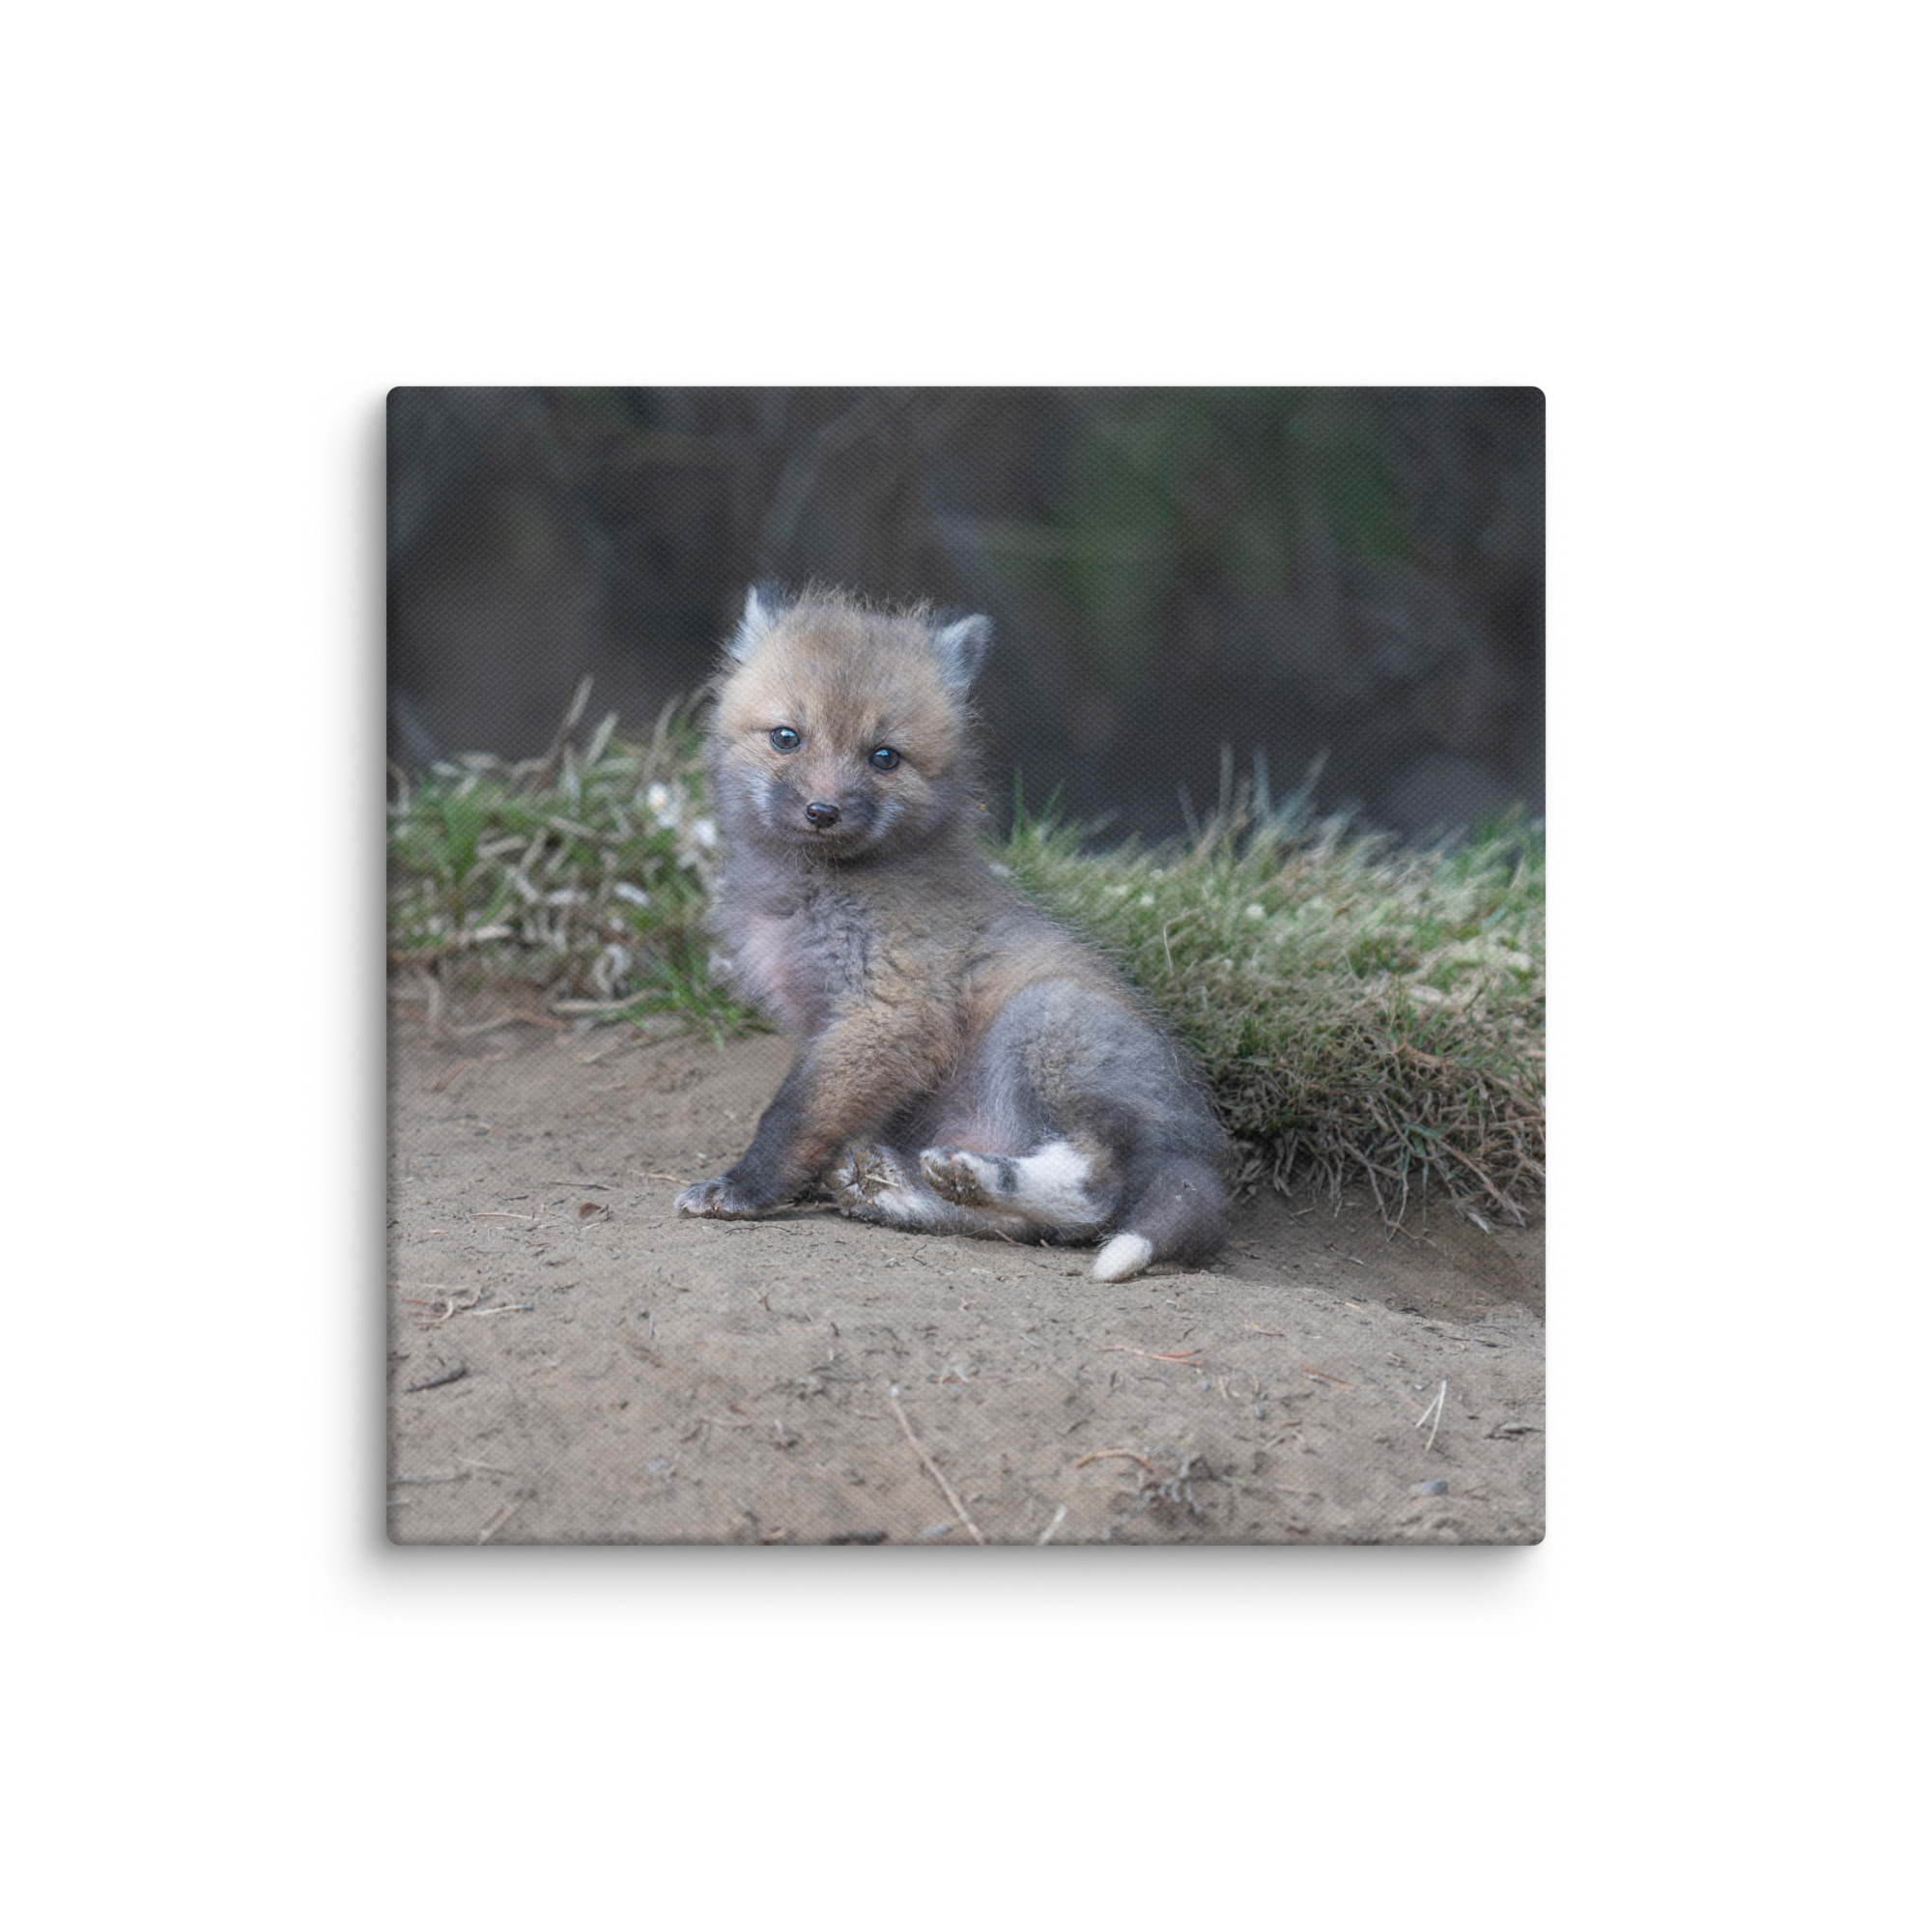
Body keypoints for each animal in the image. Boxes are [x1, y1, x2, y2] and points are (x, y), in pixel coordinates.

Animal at [674, 586, 1229, 1282]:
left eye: (884, 757)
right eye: (786, 738)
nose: (822, 812)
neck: (813, 891)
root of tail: (1199, 1149)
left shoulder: (891, 1010)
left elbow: (793, 1114)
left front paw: (744, 1189)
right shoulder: (830, 1025)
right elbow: (818, 1114)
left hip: (1043, 1023)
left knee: (1095, 1191)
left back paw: (973, 1175)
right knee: (1030, 1227)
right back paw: (902, 1191)